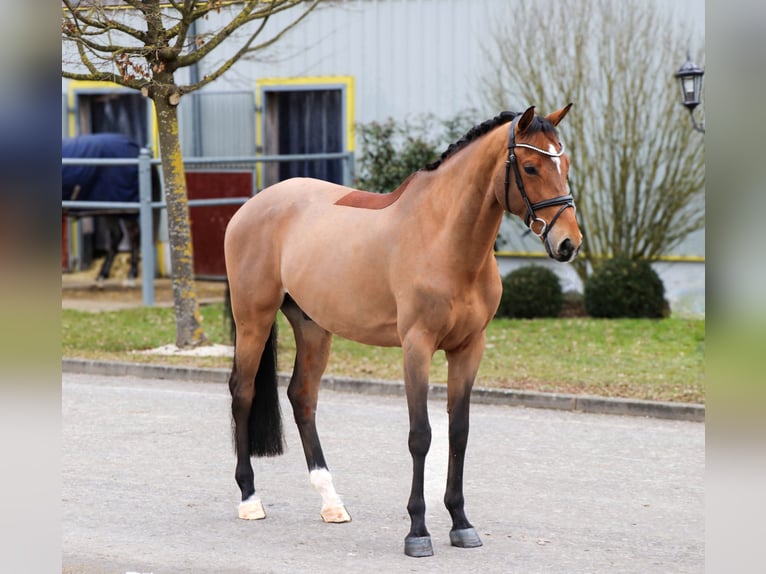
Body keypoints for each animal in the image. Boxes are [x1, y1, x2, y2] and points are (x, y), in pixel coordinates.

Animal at [62, 133, 159, 286]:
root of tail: (135, 146)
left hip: (125, 208)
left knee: (133, 235)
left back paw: (131, 274)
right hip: (109, 209)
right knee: (116, 236)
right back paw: (103, 274)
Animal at [224, 105, 582, 557]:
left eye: (564, 165)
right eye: (532, 167)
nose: (569, 243)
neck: (445, 240)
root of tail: (252, 205)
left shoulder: (469, 348)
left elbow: (458, 433)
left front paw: (461, 523)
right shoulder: (417, 346)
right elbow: (421, 436)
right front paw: (418, 531)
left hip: (313, 327)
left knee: (302, 398)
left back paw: (331, 502)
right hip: (253, 318)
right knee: (243, 394)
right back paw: (249, 499)